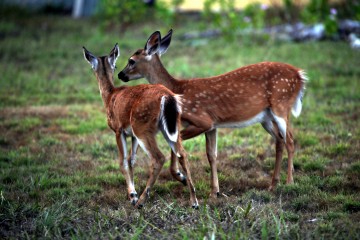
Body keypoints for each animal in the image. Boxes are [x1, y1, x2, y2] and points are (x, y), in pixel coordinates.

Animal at [82, 44, 198, 209]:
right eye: (115, 65)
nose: (119, 73)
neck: (110, 97)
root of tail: (167, 97)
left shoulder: (119, 130)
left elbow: (123, 161)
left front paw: (133, 196)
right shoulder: (132, 135)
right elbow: (132, 160)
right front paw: (133, 192)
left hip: (142, 126)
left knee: (158, 158)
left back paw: (142, 200)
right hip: (170, 127)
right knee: (182, 154)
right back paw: (194, 201)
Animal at [117, 30, 306, 198]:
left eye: (131, 60)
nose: (120, 74)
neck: (178, 91)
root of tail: (300, 75)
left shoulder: (203, 120)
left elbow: (178, 145)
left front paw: (181, 176)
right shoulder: (212, 126)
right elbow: (212, 155)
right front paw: (215, 191)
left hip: (281, 105)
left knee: (290, 140)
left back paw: (289, 182)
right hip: (266, 117)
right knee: (280, 140)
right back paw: (273, 184)